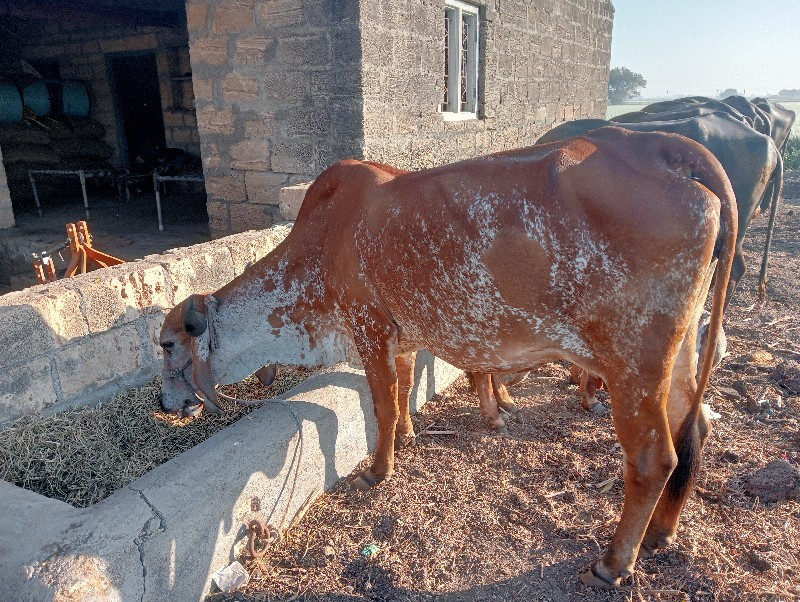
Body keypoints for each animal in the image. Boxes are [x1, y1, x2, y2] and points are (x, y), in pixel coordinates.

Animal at [161, 127, 736, 584]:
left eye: (167, 345)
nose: (167, 406)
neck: (322, 245)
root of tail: (661, 147)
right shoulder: (403, 336)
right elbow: (402, 391)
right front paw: (408, 439)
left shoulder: (369, 327)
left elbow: (383, 403)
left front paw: (379, 469)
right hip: (677, 355)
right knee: (697, 427)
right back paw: (660, 533)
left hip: (632, 365)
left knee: (655, 458)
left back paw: (614, 562)